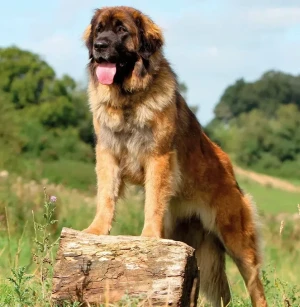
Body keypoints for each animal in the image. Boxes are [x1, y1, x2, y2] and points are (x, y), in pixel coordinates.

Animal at [82, 5, 268, 307]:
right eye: (100, 30)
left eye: (122, 30)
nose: (99, 46)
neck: (128, 100)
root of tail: (228, 167)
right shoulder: (108, 154)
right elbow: (106, 196)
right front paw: (96, 231)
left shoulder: (158, 157)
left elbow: (152, 202)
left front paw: (148, 237)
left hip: (237, 239)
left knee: (255, 285)